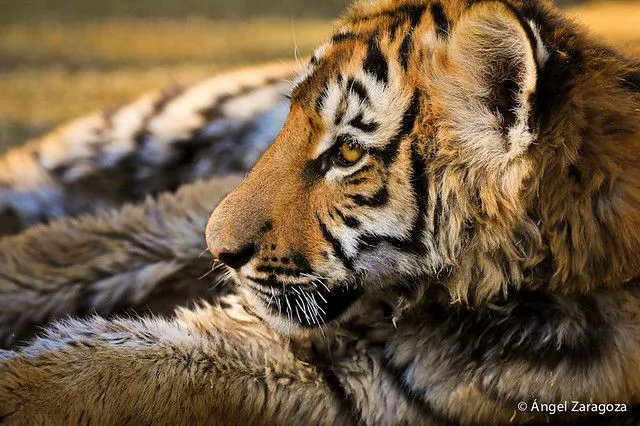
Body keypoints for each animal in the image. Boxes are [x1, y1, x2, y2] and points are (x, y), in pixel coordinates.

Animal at [1, 0, 640, 422]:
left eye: (348, 153)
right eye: (288, 124)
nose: (218, 250)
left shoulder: (336, 377)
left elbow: (95, 369)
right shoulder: (192, 207)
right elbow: (68, 252)